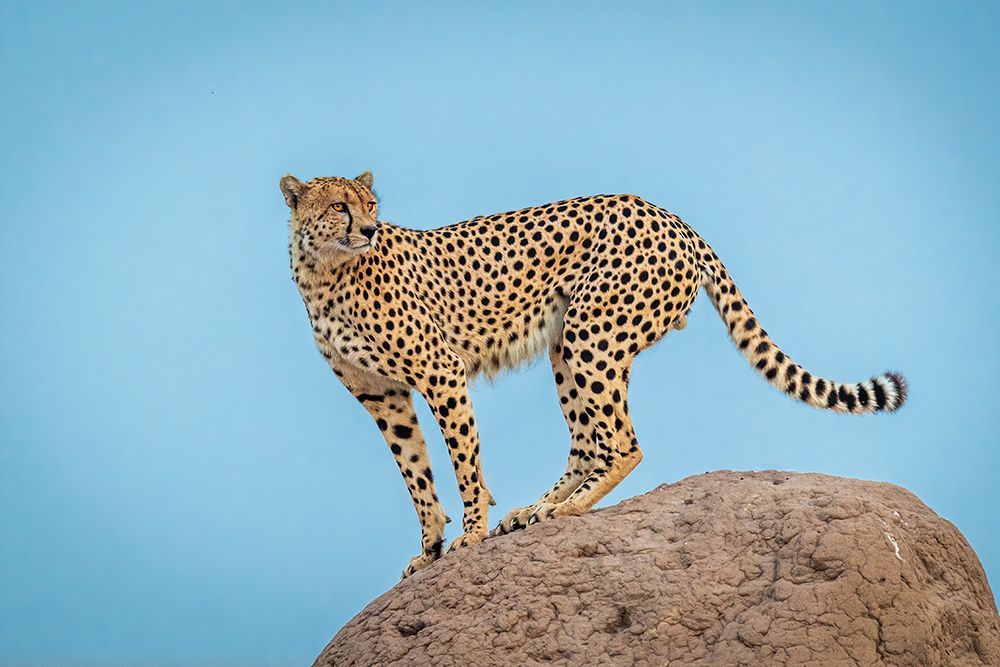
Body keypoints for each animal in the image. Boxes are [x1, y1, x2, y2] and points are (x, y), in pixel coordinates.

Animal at [280, 171, 908, 578]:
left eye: (370, 204)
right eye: (340, 207)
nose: (368, 229)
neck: (325, 272)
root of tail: (669, 215)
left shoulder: (441, 372)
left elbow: (463, 464)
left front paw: (470, 533)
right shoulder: (381, 394)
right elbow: (415, 474)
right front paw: (430, 547)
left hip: (591, 335)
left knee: (623, 443)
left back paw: (564, 509)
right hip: (568, 345)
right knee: (589, 442)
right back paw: (535, 510)